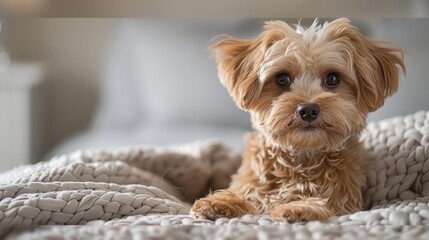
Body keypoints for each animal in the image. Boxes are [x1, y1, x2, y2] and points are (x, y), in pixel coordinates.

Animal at [191, 17, 404, 222]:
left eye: (333, 78)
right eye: (282, 78)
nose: (308, 110)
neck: (302, 157)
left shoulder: (343, 198)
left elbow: (323, 202)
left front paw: (300, 207)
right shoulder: (252, 186)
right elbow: (245, 195)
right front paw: (219, 202)